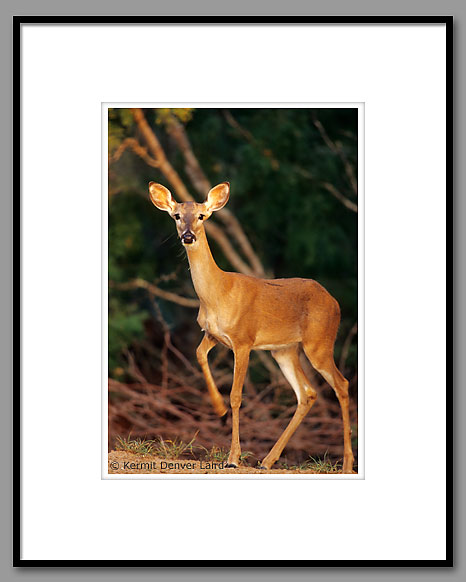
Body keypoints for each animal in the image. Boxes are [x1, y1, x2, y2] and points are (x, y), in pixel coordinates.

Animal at [149, 182, 354, 474]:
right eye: (177, 216)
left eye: (201, 216)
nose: (188, 236)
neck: (217, 293)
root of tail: (334, 302)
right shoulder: (212, 334)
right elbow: (199, 355)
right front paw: (219, 409)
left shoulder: (243, 340)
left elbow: (236, 395)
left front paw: (233, 457)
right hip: (284, 350)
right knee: (307, 393)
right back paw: (268, 460)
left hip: (319, 342)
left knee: (342, 384)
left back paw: (347, 464)